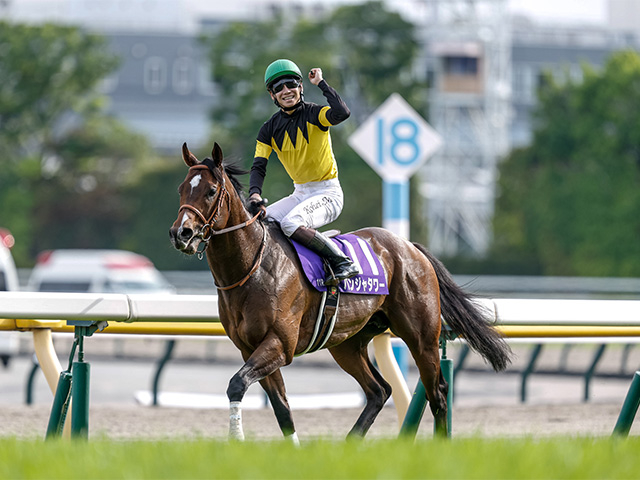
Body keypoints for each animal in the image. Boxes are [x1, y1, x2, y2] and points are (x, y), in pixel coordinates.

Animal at [169, 142, 512, 441]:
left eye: (211, 191)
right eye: (182, 189)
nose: (181, 233)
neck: (252, 267)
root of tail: (410, 247)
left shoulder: (279, 344)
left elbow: (237, 383)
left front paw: (236, 439)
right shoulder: (249, 347)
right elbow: (282, 408)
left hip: (422, 337)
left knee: (437, 392)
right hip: (347, 343)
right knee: (379, 391)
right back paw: (350, 444)